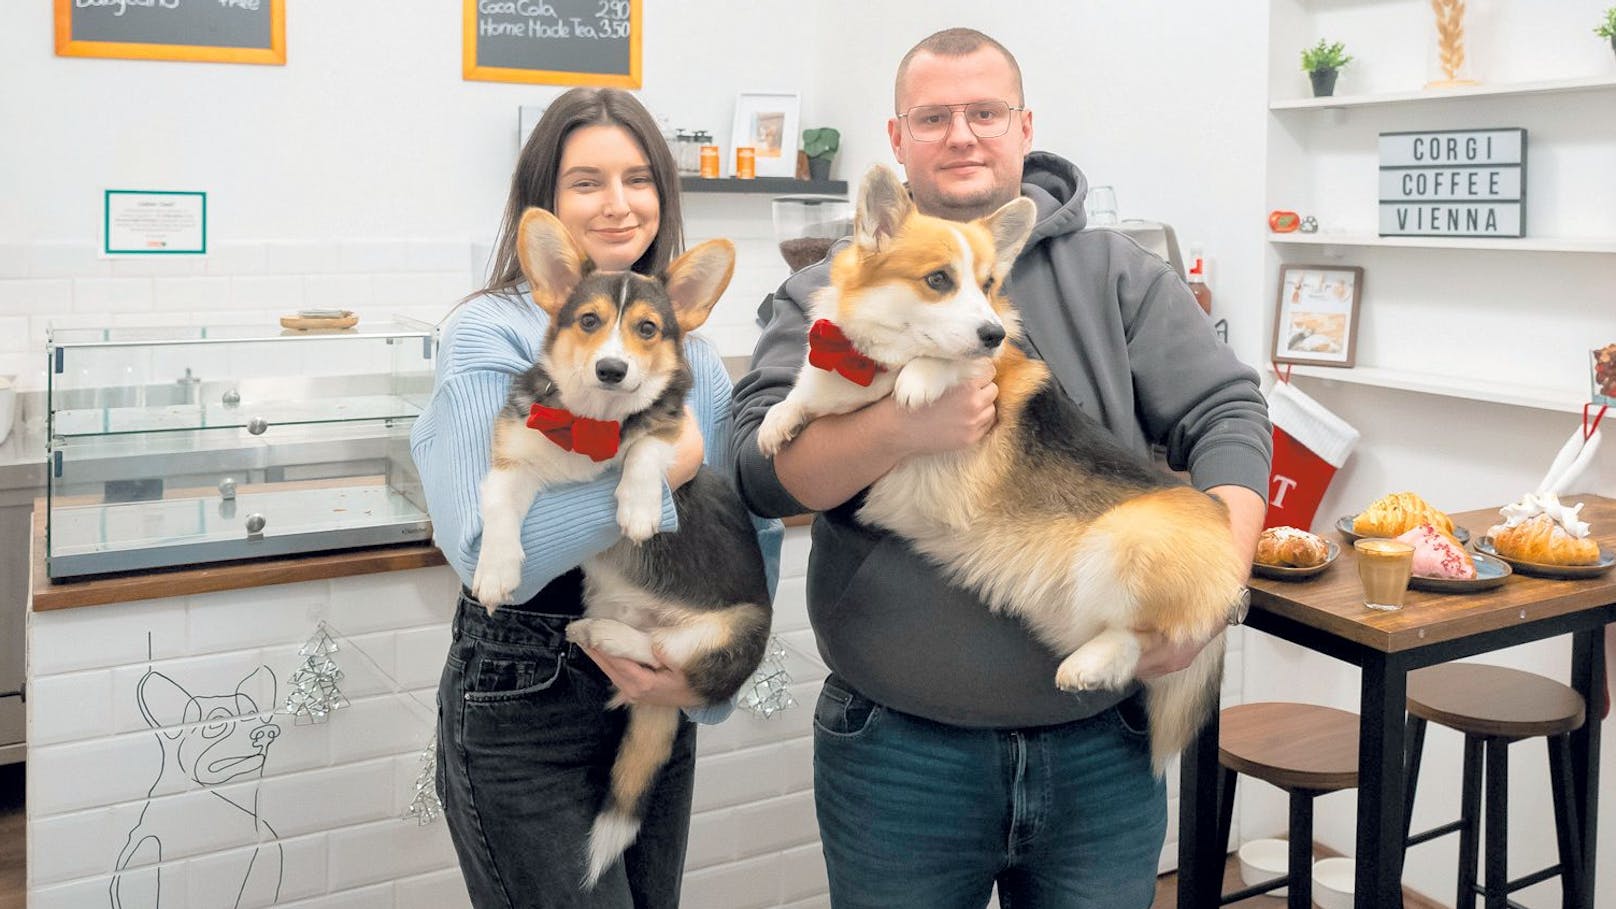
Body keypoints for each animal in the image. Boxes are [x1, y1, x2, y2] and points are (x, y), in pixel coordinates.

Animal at [471, 207, 775, 886]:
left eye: (647, 329)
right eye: (588, 322)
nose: (613, 370)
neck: (593, 421)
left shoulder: (669, 430)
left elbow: (645, 450)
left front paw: (637, 507)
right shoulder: (512, 463)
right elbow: (500, 509)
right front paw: (496, 572)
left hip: (734, 633)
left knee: (666, 655)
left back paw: (608, 636)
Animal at [759, 164, 1247, 769]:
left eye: (989, 284)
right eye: (938, 280)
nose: (990, 333)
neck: (873, 369)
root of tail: (1227, 546)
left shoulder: (981, 373)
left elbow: (945, 366)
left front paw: (921, 379)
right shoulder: (838, 381)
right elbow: (804, 396)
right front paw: (777, 422)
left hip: (1123, 537)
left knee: (1141, 637)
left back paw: (1087, 664)